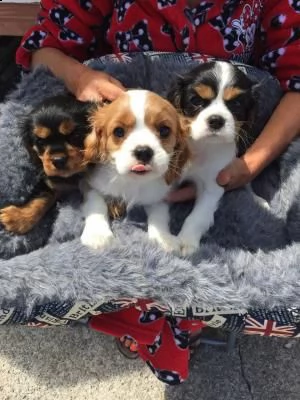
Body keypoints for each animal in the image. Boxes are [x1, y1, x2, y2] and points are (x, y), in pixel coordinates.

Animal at [0, 94, 95, 234]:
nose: (58, 160)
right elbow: (42, 196)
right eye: (40, 142)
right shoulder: (51, 180)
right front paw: (19, 217)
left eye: (75, 136)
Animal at [79, 90, 188, 250]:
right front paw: (97, 235)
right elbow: (96, 203)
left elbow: (160, 214)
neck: (133, 181)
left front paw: (163, 238)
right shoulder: (89, 183)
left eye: (164, 130)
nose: (143, 151)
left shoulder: (161, 194)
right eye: (118, 131)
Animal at [168, 61, 256, 256]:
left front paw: (186, 241)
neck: (202, 145)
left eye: (236, 103)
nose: (216, 120)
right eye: (196, 101)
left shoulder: (213, 185)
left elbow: (198, 216)